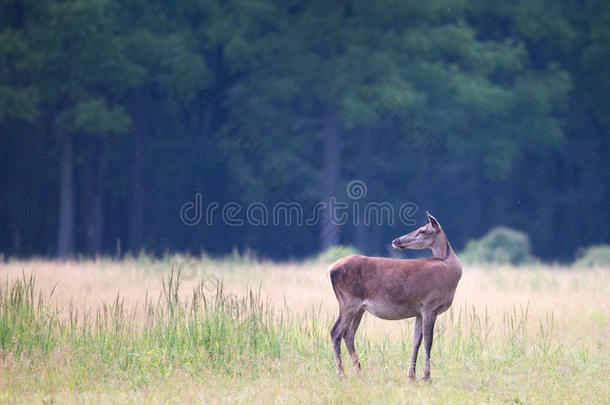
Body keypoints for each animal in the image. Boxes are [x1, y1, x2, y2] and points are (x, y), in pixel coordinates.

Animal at [328, 211, 460, 378]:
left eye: (422, 230)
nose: (396, 240)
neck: (451, 270)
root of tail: (331, 269)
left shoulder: (419, 311)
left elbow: (416, 341)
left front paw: (411, 376)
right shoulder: (430, 306)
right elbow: (428, 342)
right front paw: (426, 377)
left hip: (359, 308)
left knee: (348, 334)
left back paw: (359, 372)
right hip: (348, 301)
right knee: (335, 332)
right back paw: (342, 374)